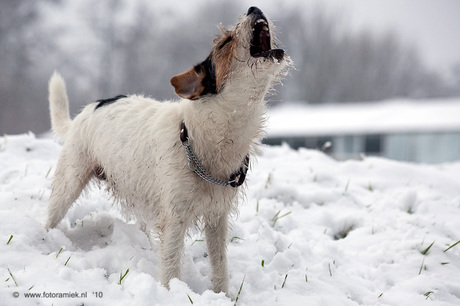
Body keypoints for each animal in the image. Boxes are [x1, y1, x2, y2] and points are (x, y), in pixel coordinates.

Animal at [46, 6, 292, 294]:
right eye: (225, 42)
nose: (254, 8)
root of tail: (85, 112)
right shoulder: (174, 219)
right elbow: (172, 261)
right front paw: (172, 292)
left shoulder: (217, 218)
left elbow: (219, 263)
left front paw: (223, 295)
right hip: (68, 183)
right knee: (51, 216)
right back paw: (46, 241)